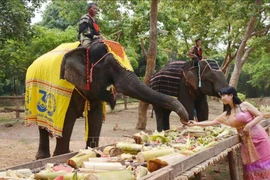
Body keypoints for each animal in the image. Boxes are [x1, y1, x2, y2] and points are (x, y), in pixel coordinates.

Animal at [25, 39, 189, 159]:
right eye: (109, 66)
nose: (185, 120)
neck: (85, 48)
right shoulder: (67, 89)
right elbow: (67, 120)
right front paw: (61, 156)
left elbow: (96, 118)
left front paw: (91, 152)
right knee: (42, 124)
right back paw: (42, 158)